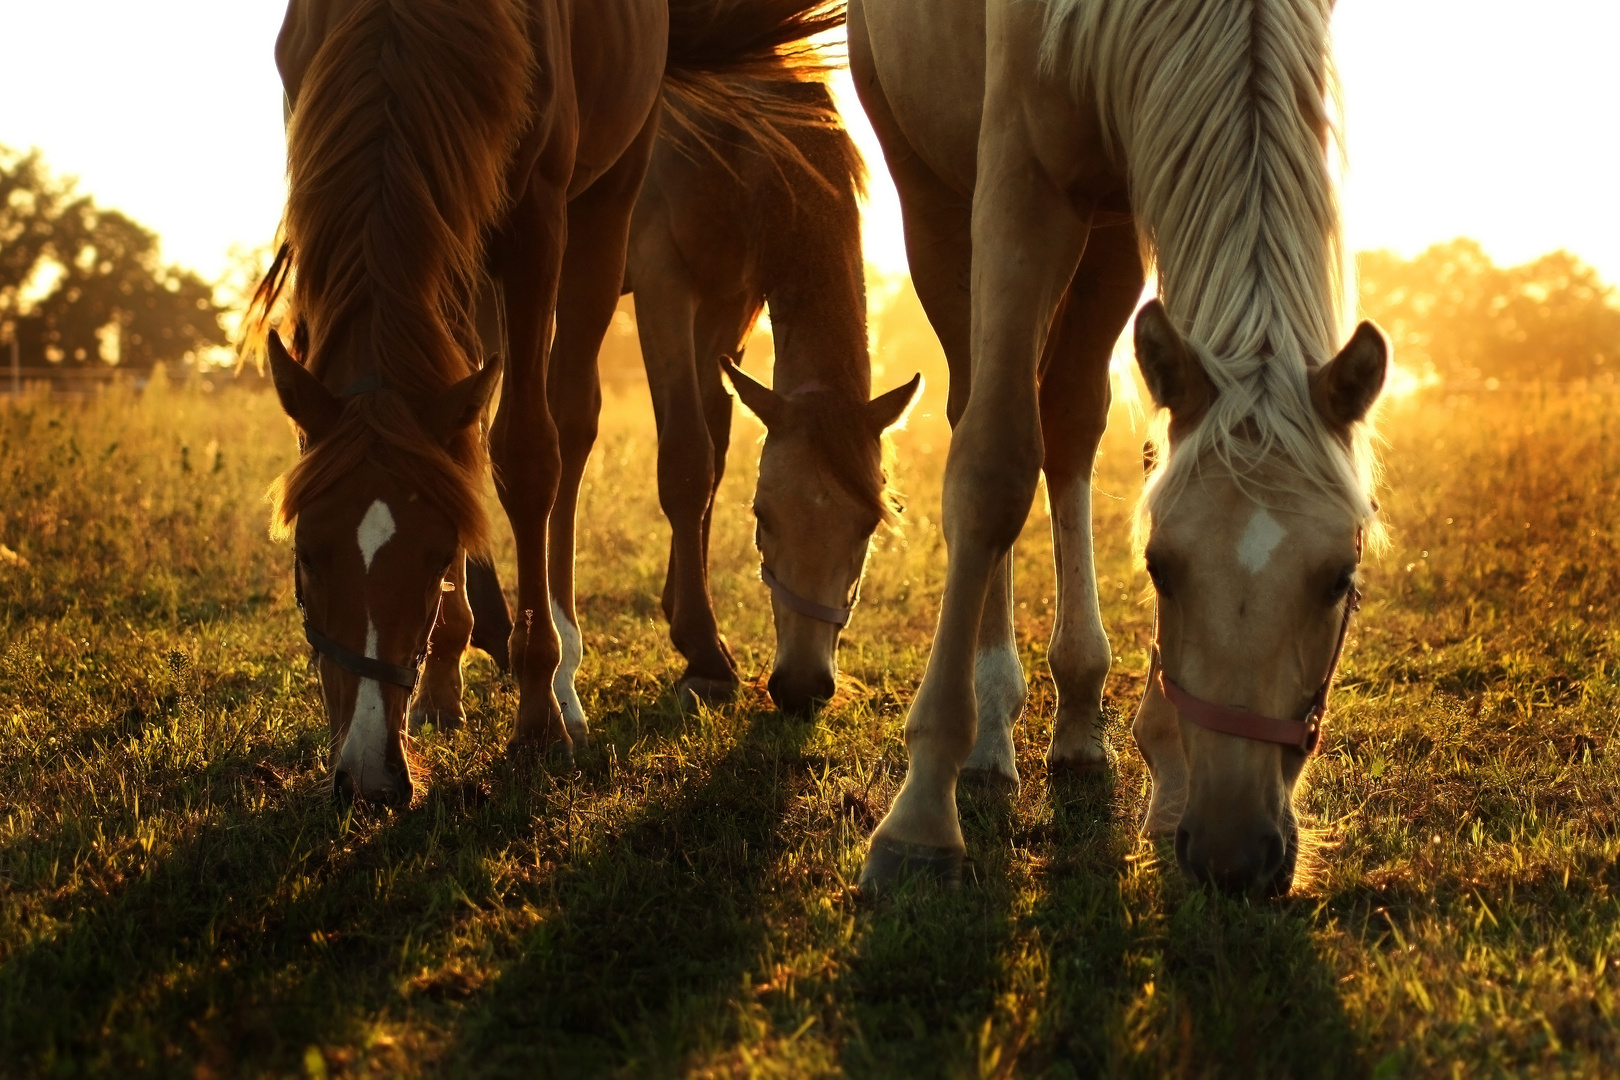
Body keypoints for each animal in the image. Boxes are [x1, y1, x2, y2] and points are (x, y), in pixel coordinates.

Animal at [257, 0, 842, 806]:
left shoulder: (539, 219)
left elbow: (532, 455)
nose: (372, 777)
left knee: (570, 424)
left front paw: (537, 716)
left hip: (602, 208)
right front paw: (445, 674)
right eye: (306, 555)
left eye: (434, 552)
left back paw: (563, 675)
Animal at [469, 71, 926, 722]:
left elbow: (716, 448)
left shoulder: (730, 304)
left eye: (868, 526)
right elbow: (686, 459)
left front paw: (685, 618)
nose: (801, 688)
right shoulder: (664, 280)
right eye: (763, 517)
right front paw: (705, 654)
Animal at [848, 0, 1393, 893]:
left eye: (1339, 579)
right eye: (1160, 569)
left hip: (1105, 232)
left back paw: (1077, 709)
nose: (1233, 854)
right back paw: (991, 727)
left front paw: (1166, 774)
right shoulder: (1019, 182)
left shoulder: (1142, 180)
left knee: (1069, 421)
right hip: (931, 191)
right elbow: (992, 469)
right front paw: (921, 820)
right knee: (981, 411)